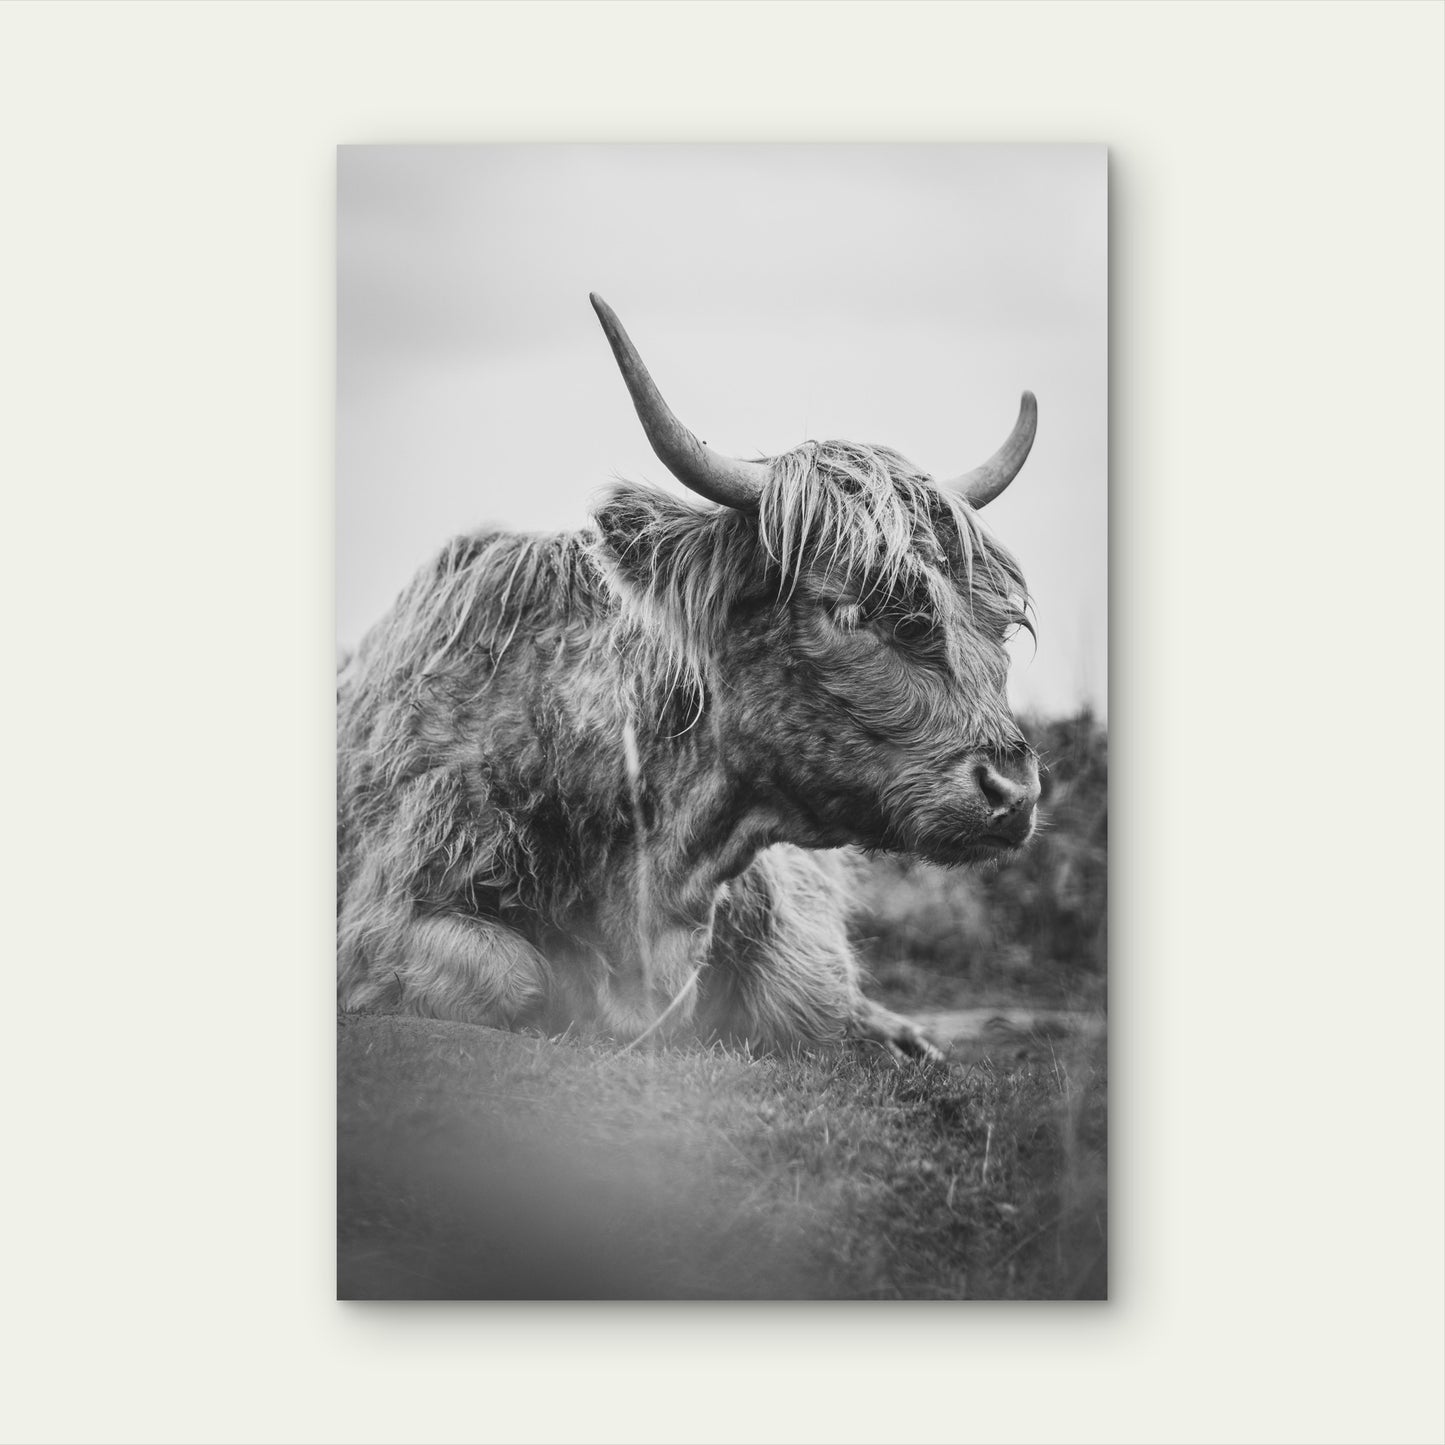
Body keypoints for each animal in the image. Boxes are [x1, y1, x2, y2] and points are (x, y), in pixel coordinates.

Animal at [337, 295, 1041, 1060]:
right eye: (854, 607)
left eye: (1000, 624)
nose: (1015, 791)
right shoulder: (384, 918)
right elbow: (515, 977)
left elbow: (806, 997)